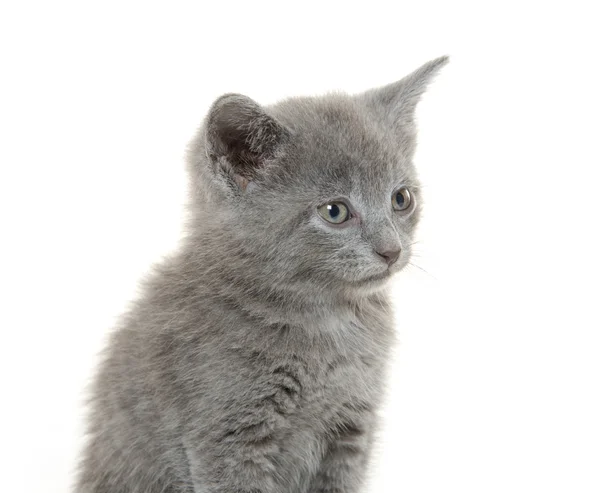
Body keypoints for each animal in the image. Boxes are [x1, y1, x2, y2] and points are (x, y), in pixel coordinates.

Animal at [77, 55, 448, 490]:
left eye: (401, 199)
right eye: (335, 211)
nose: (392, 250)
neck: (327, 322)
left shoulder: (351, 428)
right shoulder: (228, 436)